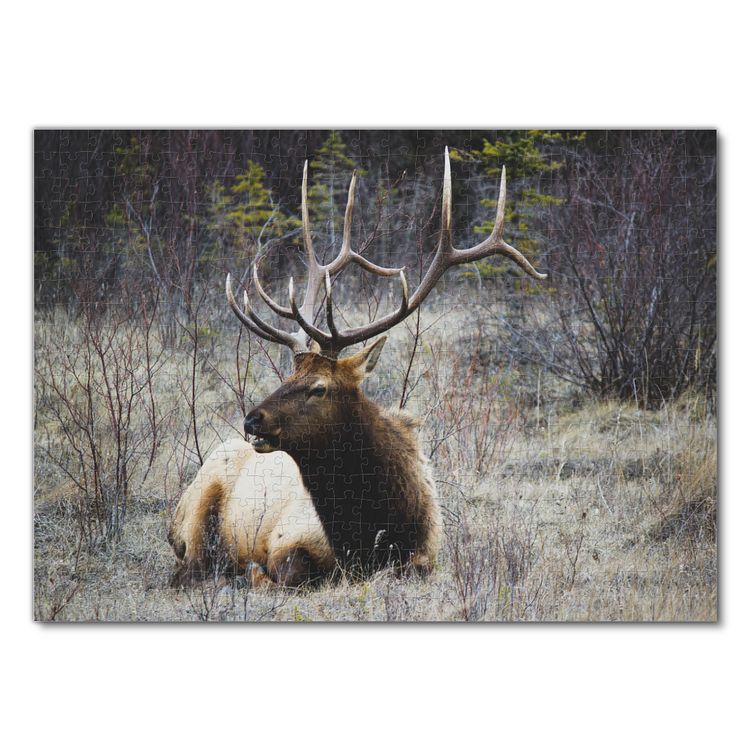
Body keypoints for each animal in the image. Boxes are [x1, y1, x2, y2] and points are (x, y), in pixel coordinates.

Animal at [168, 148, 546, 587]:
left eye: (318, 387)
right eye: (287, 376)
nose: (252, 420)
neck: (370, 531)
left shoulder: (425, 555)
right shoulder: (286, 538)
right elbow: (282, 572)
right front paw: (252, 570)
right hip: (196, 511)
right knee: (190, 566)